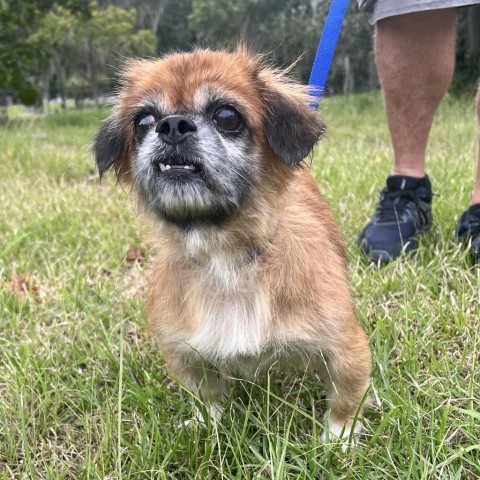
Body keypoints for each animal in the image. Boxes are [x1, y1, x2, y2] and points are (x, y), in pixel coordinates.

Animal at [94, 47, 372, 444]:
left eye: (227, 116)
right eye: (144, 120)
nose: (172, 125)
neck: (224, 259)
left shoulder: (347, 347)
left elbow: (346, 397)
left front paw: (339, 439)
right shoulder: (183, 351)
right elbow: (205, 393)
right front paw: (207, 424)